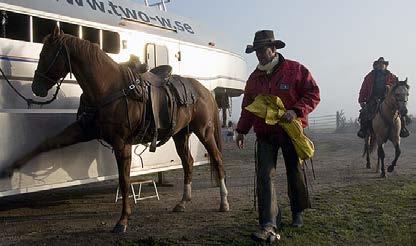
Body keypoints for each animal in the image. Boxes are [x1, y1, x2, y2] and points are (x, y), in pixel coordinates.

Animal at [0, 26, 229, 233]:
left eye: (46, 54)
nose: (36, 88)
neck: (107, 88)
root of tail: (204, 90)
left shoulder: (122, 144)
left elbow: (124, 180)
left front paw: (123, 221)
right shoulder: (83, 130)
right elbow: (47, 143)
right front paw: (10, 169)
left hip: (204, 132)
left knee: (217, 159)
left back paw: (223, 203)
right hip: (180, 135)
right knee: (188, 162)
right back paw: (182, 202)